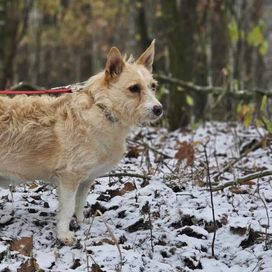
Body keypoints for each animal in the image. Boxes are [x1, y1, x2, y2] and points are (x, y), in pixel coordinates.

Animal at [0, 40, 162, 244]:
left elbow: (79, 203)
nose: (159, 109)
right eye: (134, 88)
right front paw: (64, 235)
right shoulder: (69, 177)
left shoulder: (86, 179)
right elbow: (67, 208)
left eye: (153, 86)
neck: (103, 110)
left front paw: (82, 223)